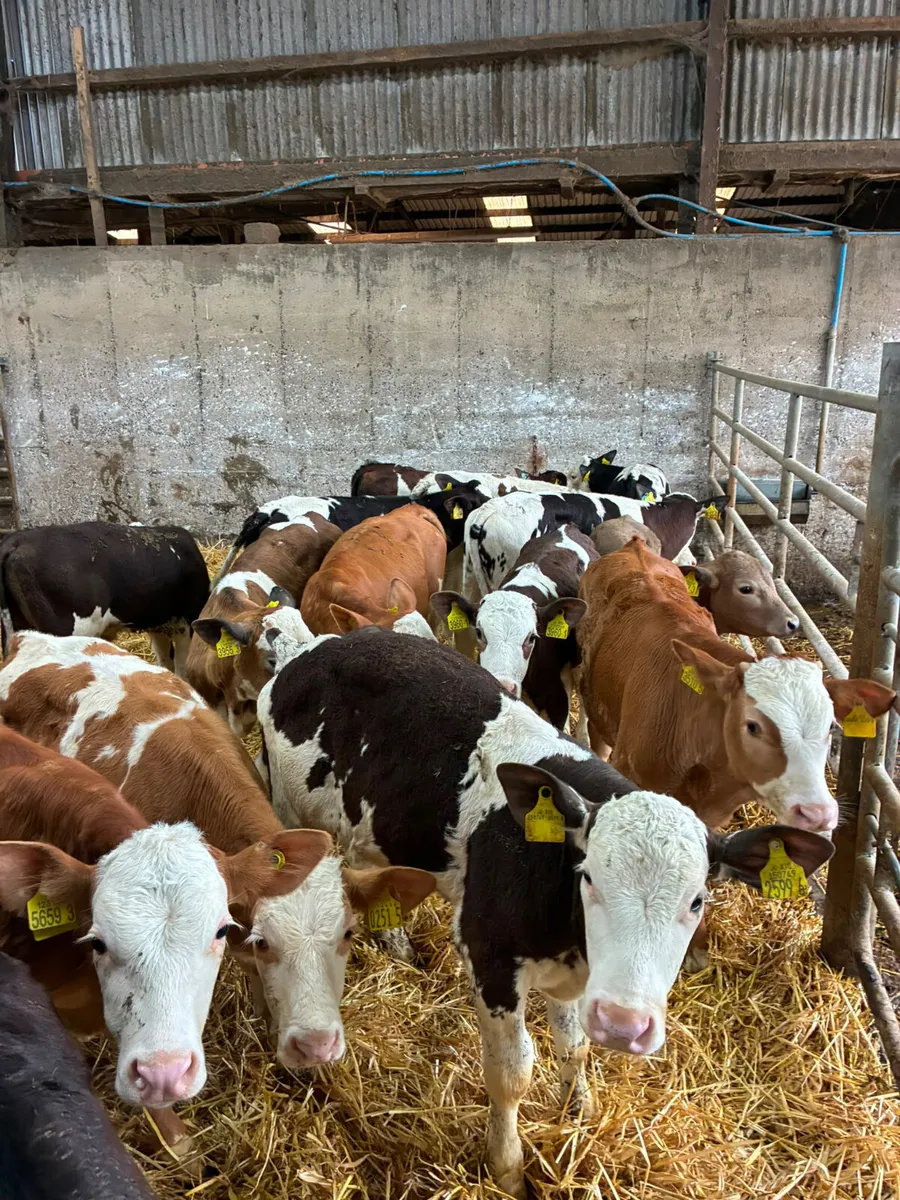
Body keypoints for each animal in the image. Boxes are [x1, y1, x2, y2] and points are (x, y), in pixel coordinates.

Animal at [256, 626, 833, 1199]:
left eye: (697, 900)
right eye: (590, 877)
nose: (624, 1024)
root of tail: (319, 646)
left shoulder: (576, 976)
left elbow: (573, 1047)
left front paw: (579, 1110)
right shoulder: (490, 957)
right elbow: (511, 1073)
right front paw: (508, 1166)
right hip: (288, 813)